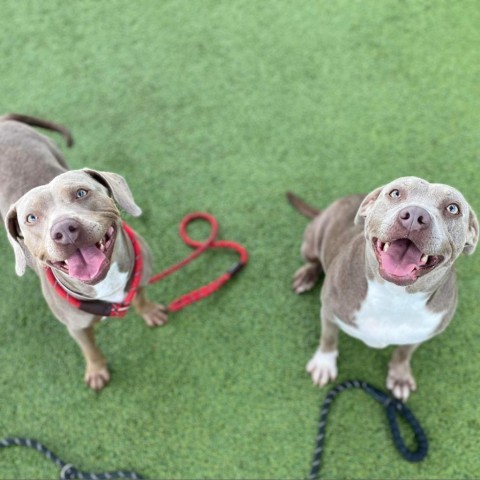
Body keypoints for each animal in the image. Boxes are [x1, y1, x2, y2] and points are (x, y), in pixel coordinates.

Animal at [0, 115, 168, 390]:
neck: (106, 284)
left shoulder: (142, 276)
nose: (63, 230)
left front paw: (149, 311)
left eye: (81, 192)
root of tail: (4, 120)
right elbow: (89, 348)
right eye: (31, 218)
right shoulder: (76, 326)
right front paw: (97, 370)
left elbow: (141, 295)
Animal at [286, 178, 478, 400]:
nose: (415, 216)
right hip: (312, 241)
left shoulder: (422, 333)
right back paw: (306, 275)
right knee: (314, 260)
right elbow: (328, 338)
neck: (393, 296)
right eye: (395, 193)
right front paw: (324, 363)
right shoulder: (329, 312)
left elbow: (403, 353)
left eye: (453, 208)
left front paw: (400, 376)